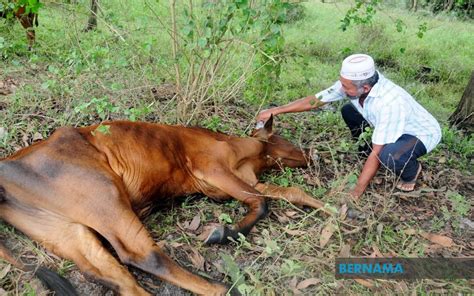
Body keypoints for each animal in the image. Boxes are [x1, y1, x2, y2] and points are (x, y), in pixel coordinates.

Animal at [0, 117, 326, 294]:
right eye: (283, 136)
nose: (312, 154)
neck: (244, 153)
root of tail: (7, 166)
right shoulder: (212, 169)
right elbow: (261, 203)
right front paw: (223, 233)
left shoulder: (241, 182)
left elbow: (289, 192)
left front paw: (328, 208)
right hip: (104, 194)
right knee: (143, 255)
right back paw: (222, 289)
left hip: (62, 229)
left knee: (117, 278)